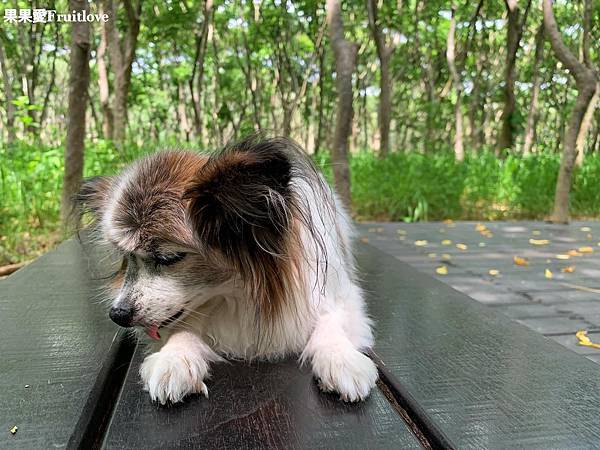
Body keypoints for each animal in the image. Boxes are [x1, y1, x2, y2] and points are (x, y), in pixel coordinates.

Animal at [77, 136, 378, 404]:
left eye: (169, 257)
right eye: (126, 257)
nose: (118, 315)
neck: (236, 298)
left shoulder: (339, 297)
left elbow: (331, 322)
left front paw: (341, 359)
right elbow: (182, 329)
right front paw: (174, 358)